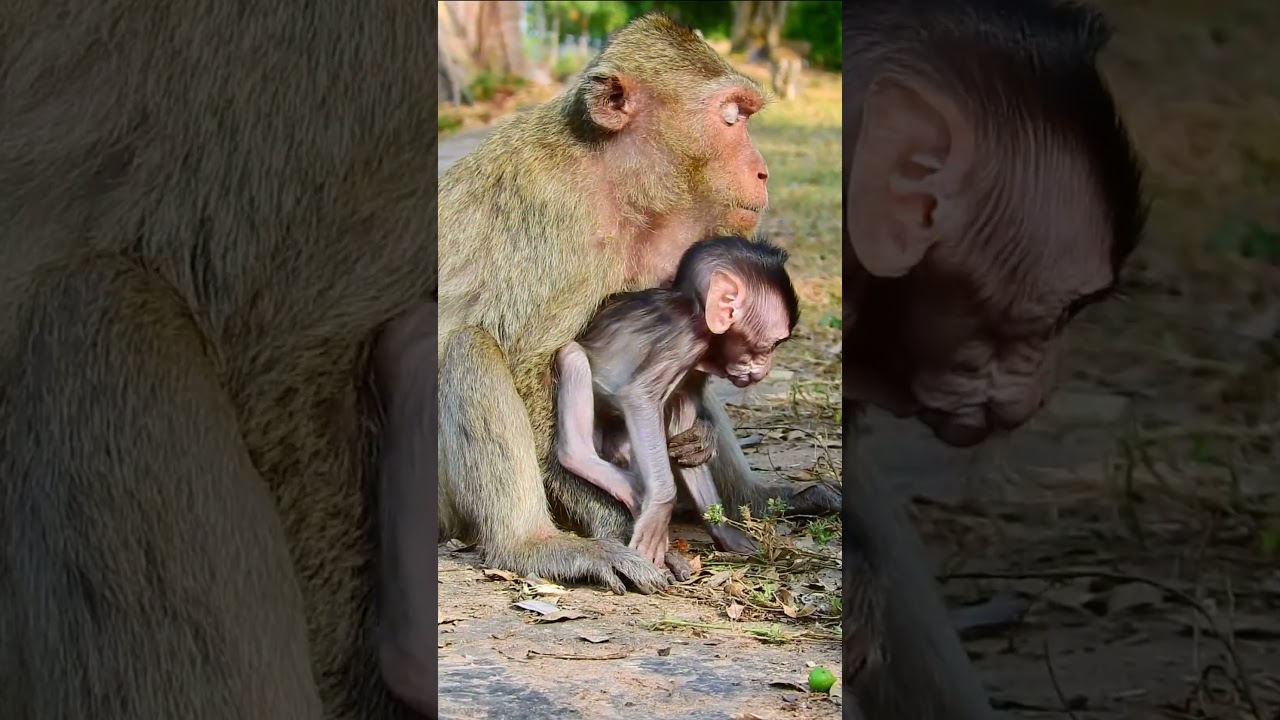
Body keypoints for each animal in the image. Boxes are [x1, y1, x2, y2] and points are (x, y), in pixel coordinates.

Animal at [553, 235, 800, 574]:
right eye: (770, 345)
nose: (765, 370)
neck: (695, 311)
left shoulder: (695, 368)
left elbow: (684, 432)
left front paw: (724, 530)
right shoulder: (684, 341)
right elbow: (640, 397)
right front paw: (659, 506)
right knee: (574, 356)